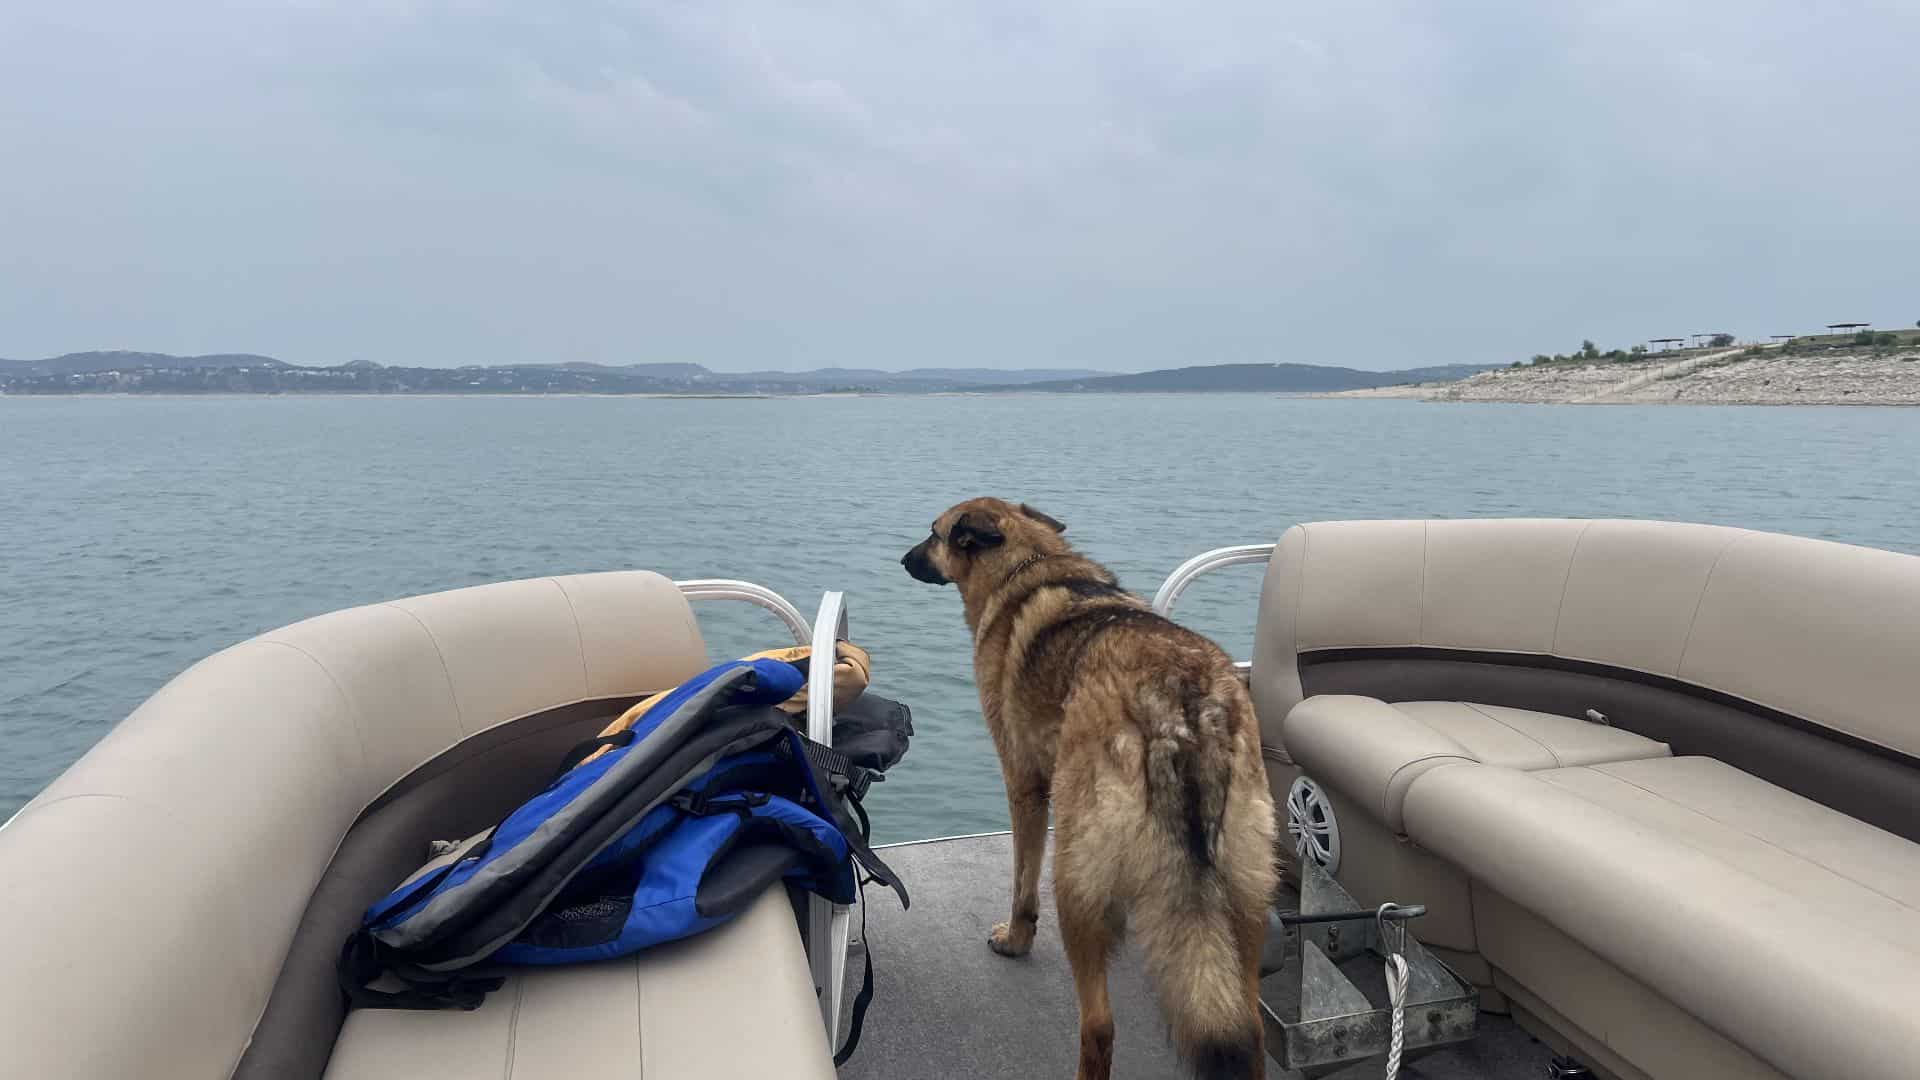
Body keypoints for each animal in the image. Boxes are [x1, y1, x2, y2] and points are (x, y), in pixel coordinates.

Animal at [898, 495, 1274, 1076]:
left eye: (934, 534)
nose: (902, 559)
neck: (1025, 563)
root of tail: (1179, 709)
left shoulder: (1025, 785)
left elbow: (1021, 883)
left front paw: (1016, 939)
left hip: (1076, 875)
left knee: (1098, 1026)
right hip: (1247, 888)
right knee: (1250, 1026)